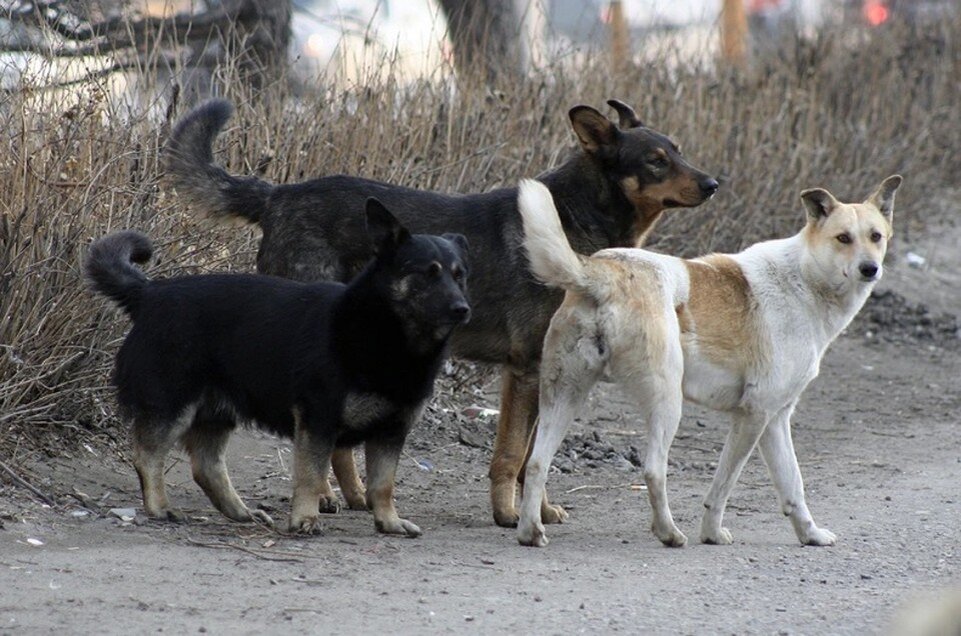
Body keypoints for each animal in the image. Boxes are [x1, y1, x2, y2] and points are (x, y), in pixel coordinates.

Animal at [86, 200, 468, 536]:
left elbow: (383, 486)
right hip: (173, 406)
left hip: (216, 413)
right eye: (427, 273)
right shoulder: (318, 422)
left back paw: (240, 512)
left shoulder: (391, 432)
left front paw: (388, 522)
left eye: (459, 275)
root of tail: (148, 293)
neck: (387, 334)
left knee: (206, 467)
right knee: (147, 455)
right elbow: (312, 476)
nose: (463, 309)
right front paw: (305, 519)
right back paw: (160, 507)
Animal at [167, 98, 720, 528]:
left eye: (677, 151)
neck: (573, 219)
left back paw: (351, 496)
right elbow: (512, 455)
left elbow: (533, 457)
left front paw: (539, 509)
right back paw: (322, 496)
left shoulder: (546, 374)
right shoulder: (527, 371)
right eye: (655, 161)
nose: (714, 183)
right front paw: (508, 514)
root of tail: (278, 195)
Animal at [516, 173, 900, 548]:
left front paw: (811, 535)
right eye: (843, 238)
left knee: (536, 464)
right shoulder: (754, 415)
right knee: (653, 469)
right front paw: (712, 534)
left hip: (564, 398)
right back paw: (669, 533)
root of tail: (601, 272)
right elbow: (724, 485)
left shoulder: (775, 419)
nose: (870, 269)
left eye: (876, 236)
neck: (805, 279)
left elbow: (793, 484)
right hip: (667, 402)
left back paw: (530, 532)